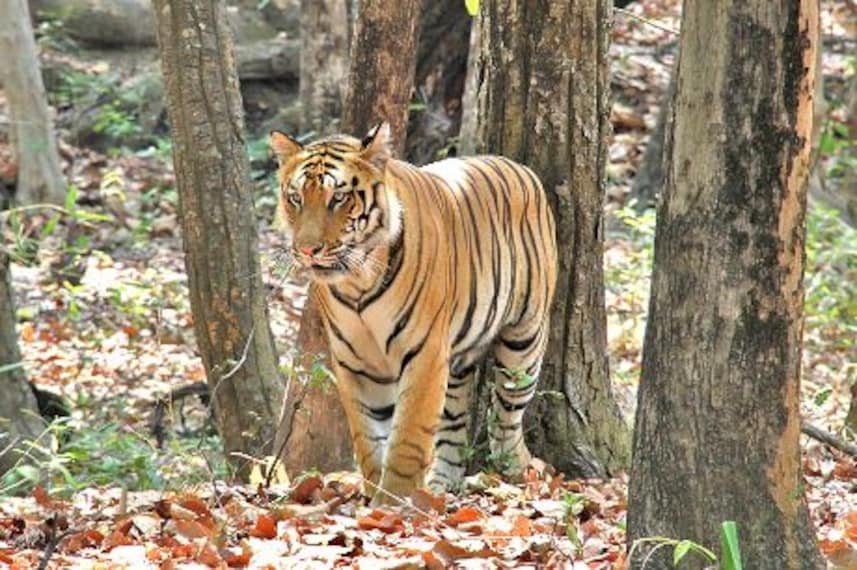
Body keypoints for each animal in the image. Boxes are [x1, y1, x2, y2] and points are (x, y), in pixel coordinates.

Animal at [269, 123, 557, 504]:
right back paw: (441, 485)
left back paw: (515, 471)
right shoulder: (355, 363)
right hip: (459, 361)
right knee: (454, 423)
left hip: (523, 342)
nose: (306, 250)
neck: (358, 283)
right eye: (296, 198)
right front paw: (376, 498)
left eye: (338, 199)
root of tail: (520, 167)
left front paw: (394, 502)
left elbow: (407, 437)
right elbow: (368, 439)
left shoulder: (425, 353)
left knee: (506, 414)